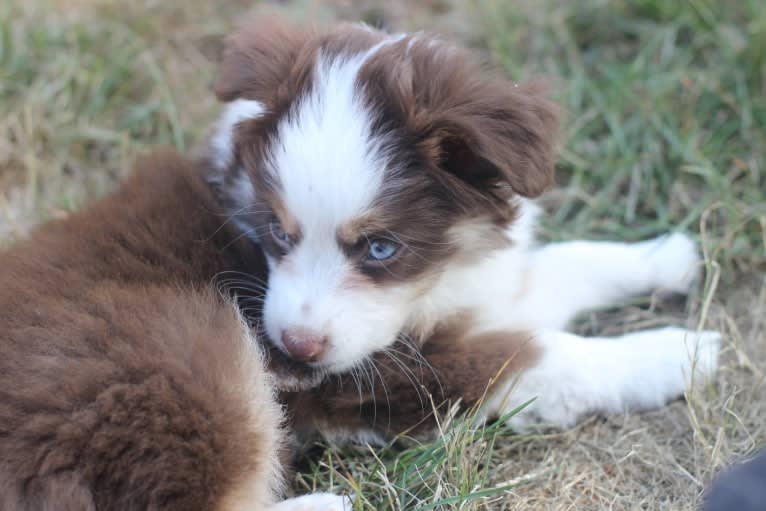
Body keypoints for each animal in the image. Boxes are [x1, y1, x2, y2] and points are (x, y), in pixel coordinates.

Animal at [0, 17, 720, 511]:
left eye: (380, 247)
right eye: (276, 232)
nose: (293, 351)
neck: (433, 284)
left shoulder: (469, 289)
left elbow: (562, 267)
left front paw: (665, 256)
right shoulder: (401, 373)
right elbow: (550, 354)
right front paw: (680, 351)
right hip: (188, 354)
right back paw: (328, 503)